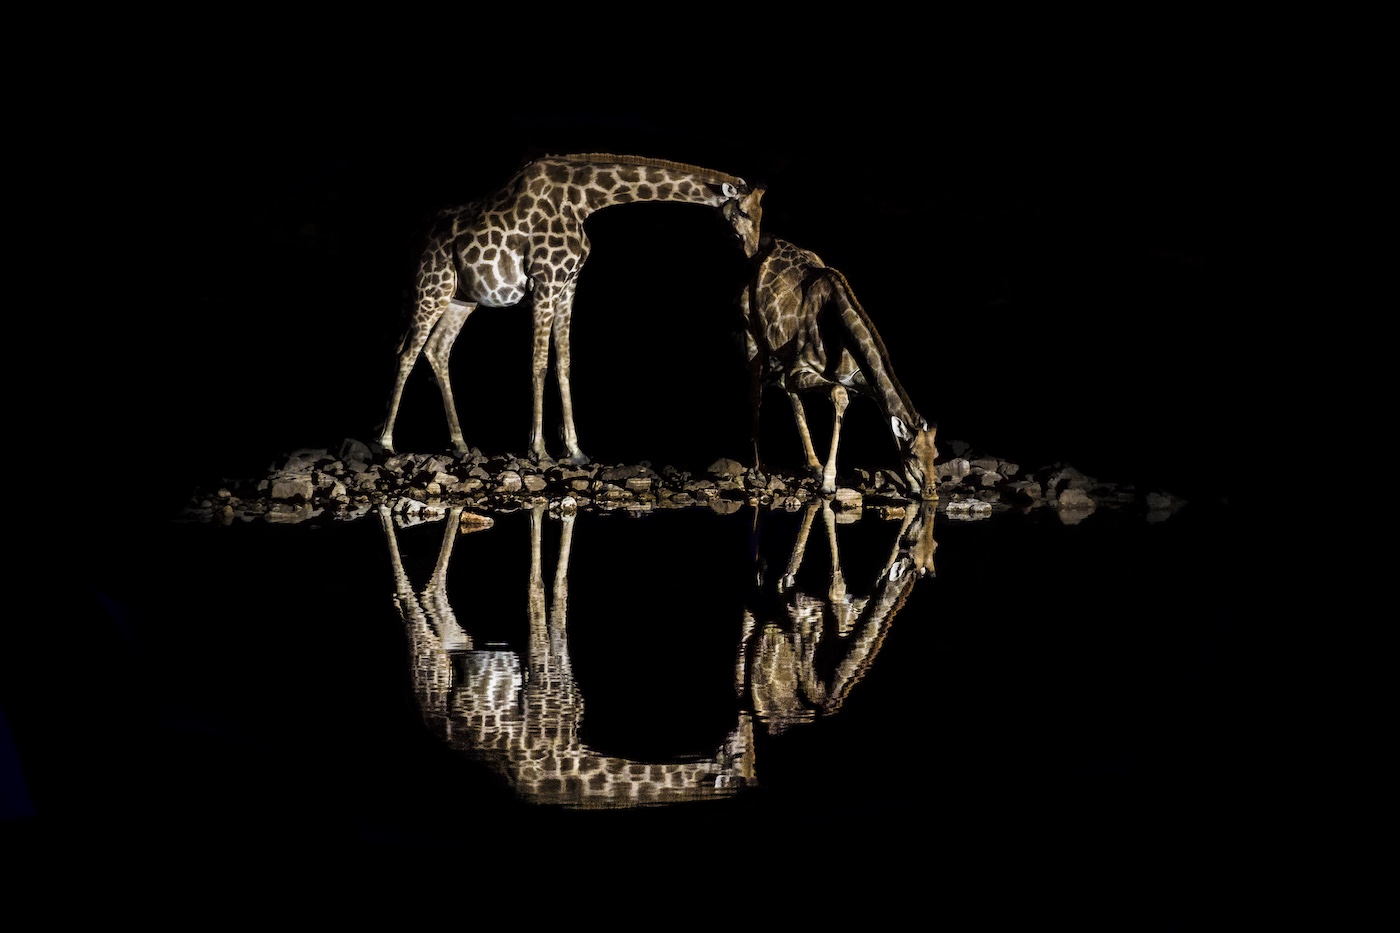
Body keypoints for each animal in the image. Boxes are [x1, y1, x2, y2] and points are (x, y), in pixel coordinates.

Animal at [378, 153, 766, 464]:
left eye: (762, 214)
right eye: (743, 212)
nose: (753, 252)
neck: (584, 200)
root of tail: (413, 239)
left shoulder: (568, 287)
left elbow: (563, 363)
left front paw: (575, 450)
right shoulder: (545, 282)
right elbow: (537, 363)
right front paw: (539, 450)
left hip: (462, 298)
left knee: (436, 349)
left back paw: (459, 444)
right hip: (432, 287)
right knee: (407, 351)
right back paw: (385, 443)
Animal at [740, 235, 939, 499]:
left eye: (936, 454)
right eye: (914, 455)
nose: (932, 493)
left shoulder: (859, 378)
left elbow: (886, 411)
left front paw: (911, 485)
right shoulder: (802, 369)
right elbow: (839, 394)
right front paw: (828, 483)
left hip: (783, 358)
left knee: (788, 393)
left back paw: (812, 465)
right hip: (752, 337)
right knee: (756, 396)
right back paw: (759, 469)